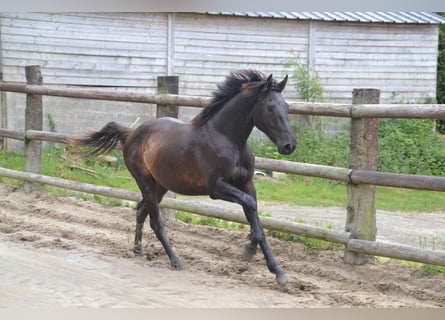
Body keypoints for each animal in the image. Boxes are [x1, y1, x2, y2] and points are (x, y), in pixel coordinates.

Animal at [71, 70, 296, 284]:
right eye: (270, 108)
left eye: (286, 107)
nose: (289, 145)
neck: (228, 140)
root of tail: (131, 133)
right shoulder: (217, 188)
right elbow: (250, 206)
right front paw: (248, 249)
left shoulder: (247, 184)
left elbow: (255, 215)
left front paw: (279, 272)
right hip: (145, 181)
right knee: (156, 221)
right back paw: (175, 261)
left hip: (160, 184)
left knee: (141, 210)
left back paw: (139, 250)